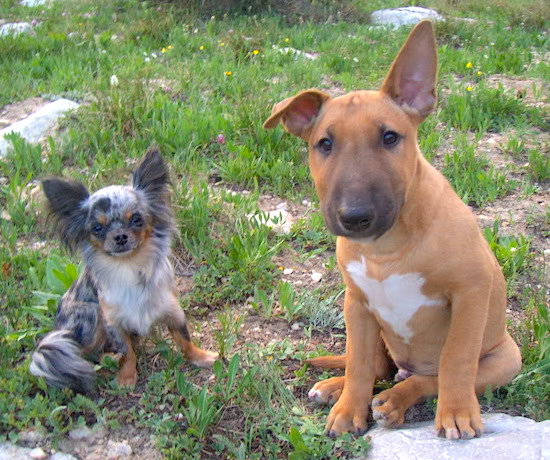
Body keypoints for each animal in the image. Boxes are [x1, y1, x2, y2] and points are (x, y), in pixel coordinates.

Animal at [264, 19, 520, 440]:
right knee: (376, 368)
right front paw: (347, 410)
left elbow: (456, 358)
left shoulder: (471, 290)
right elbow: (359, 364)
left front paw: (457, 413)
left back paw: (396, 402)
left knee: (426, 378)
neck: (386, 248)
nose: (355, 217)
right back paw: (336, 389)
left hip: (505, 358)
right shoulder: (357, 304)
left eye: (389, 137)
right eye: (324, 144)